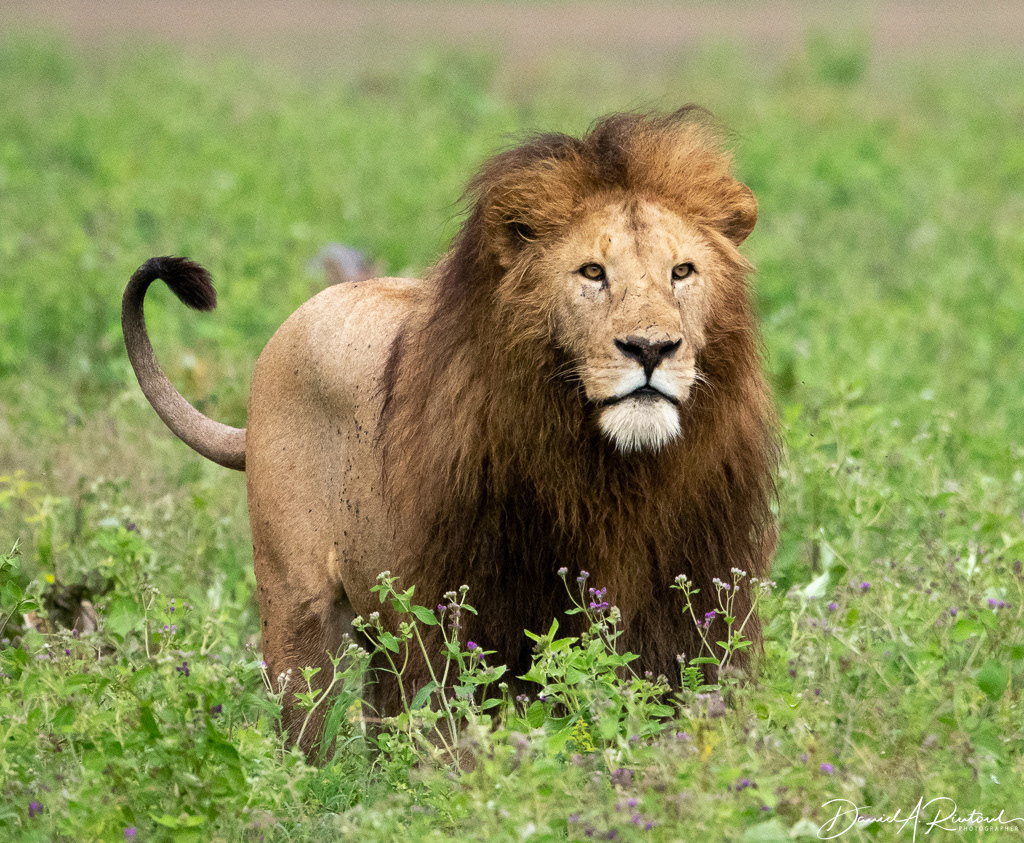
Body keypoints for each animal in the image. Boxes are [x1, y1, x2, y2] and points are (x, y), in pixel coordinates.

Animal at [122, 107, 778, 758]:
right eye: (593, 272)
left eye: (682, 272)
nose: (650, 348)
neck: (608, 465)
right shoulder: (469, 603)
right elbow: (458, 714)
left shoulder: (688, 593)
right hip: (296, 601)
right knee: (308, 719)